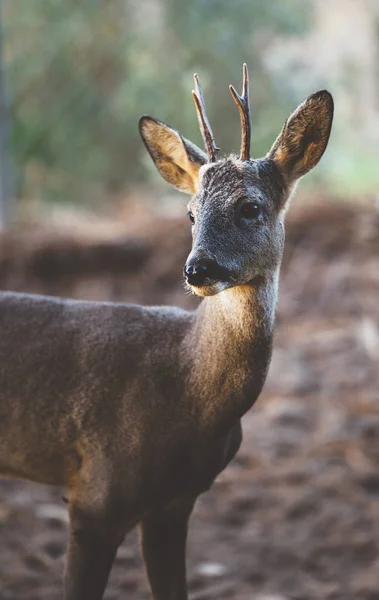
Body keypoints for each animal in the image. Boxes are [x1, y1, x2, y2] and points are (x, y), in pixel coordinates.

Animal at [0, 63, 334, 596]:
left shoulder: (175, 503)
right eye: (190, 213)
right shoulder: (96, 495)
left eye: (250, 208)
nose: (197, 268)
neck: (186, 389)